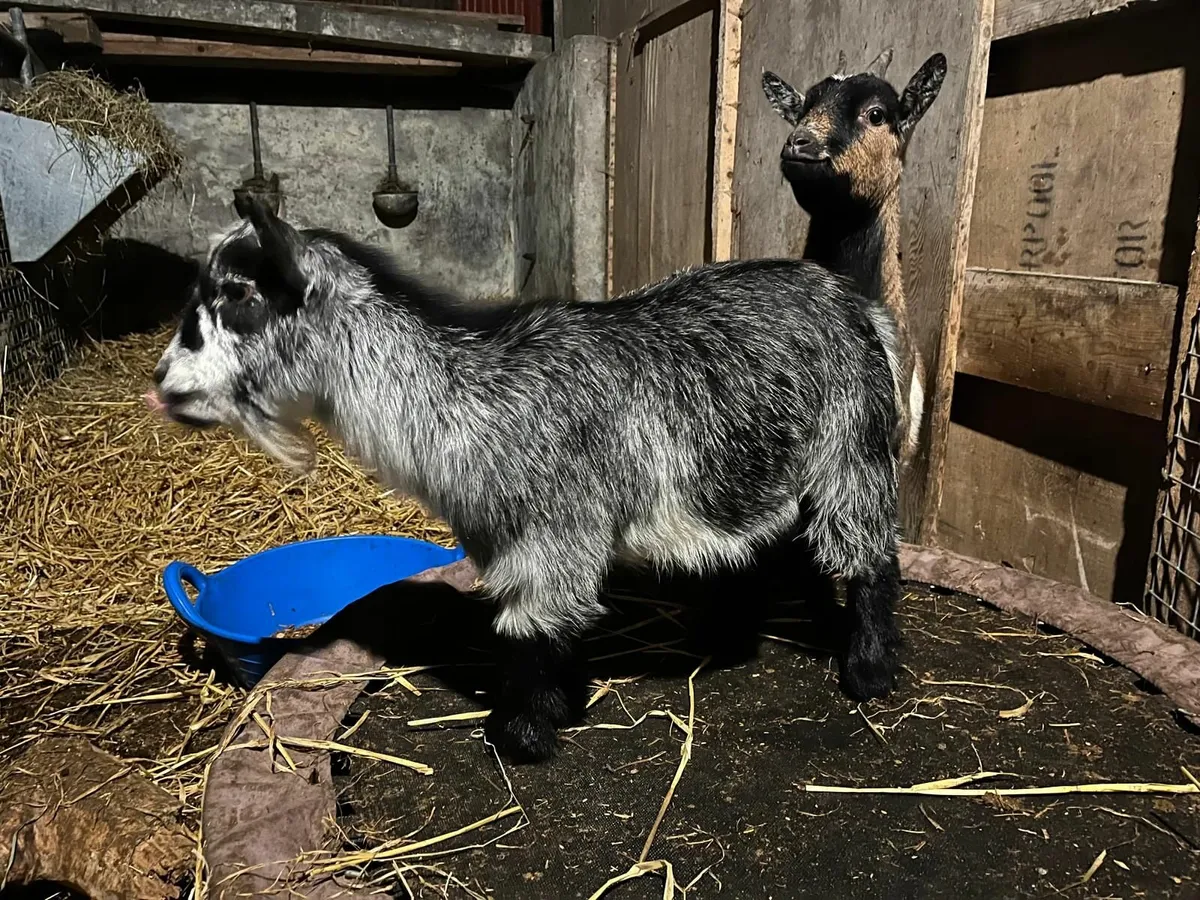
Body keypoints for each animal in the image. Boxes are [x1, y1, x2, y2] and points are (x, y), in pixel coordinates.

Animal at [147, 197, 906, 763]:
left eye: (240, 297)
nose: (164, 383)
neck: (473, 399)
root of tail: (853, 301)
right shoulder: (511, 541)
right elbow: (544, 626)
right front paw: (554, 706)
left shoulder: (556, 534)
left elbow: (530, 629)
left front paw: (520, 738)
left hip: (851, 444)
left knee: (870, 553)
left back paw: (868, 672)